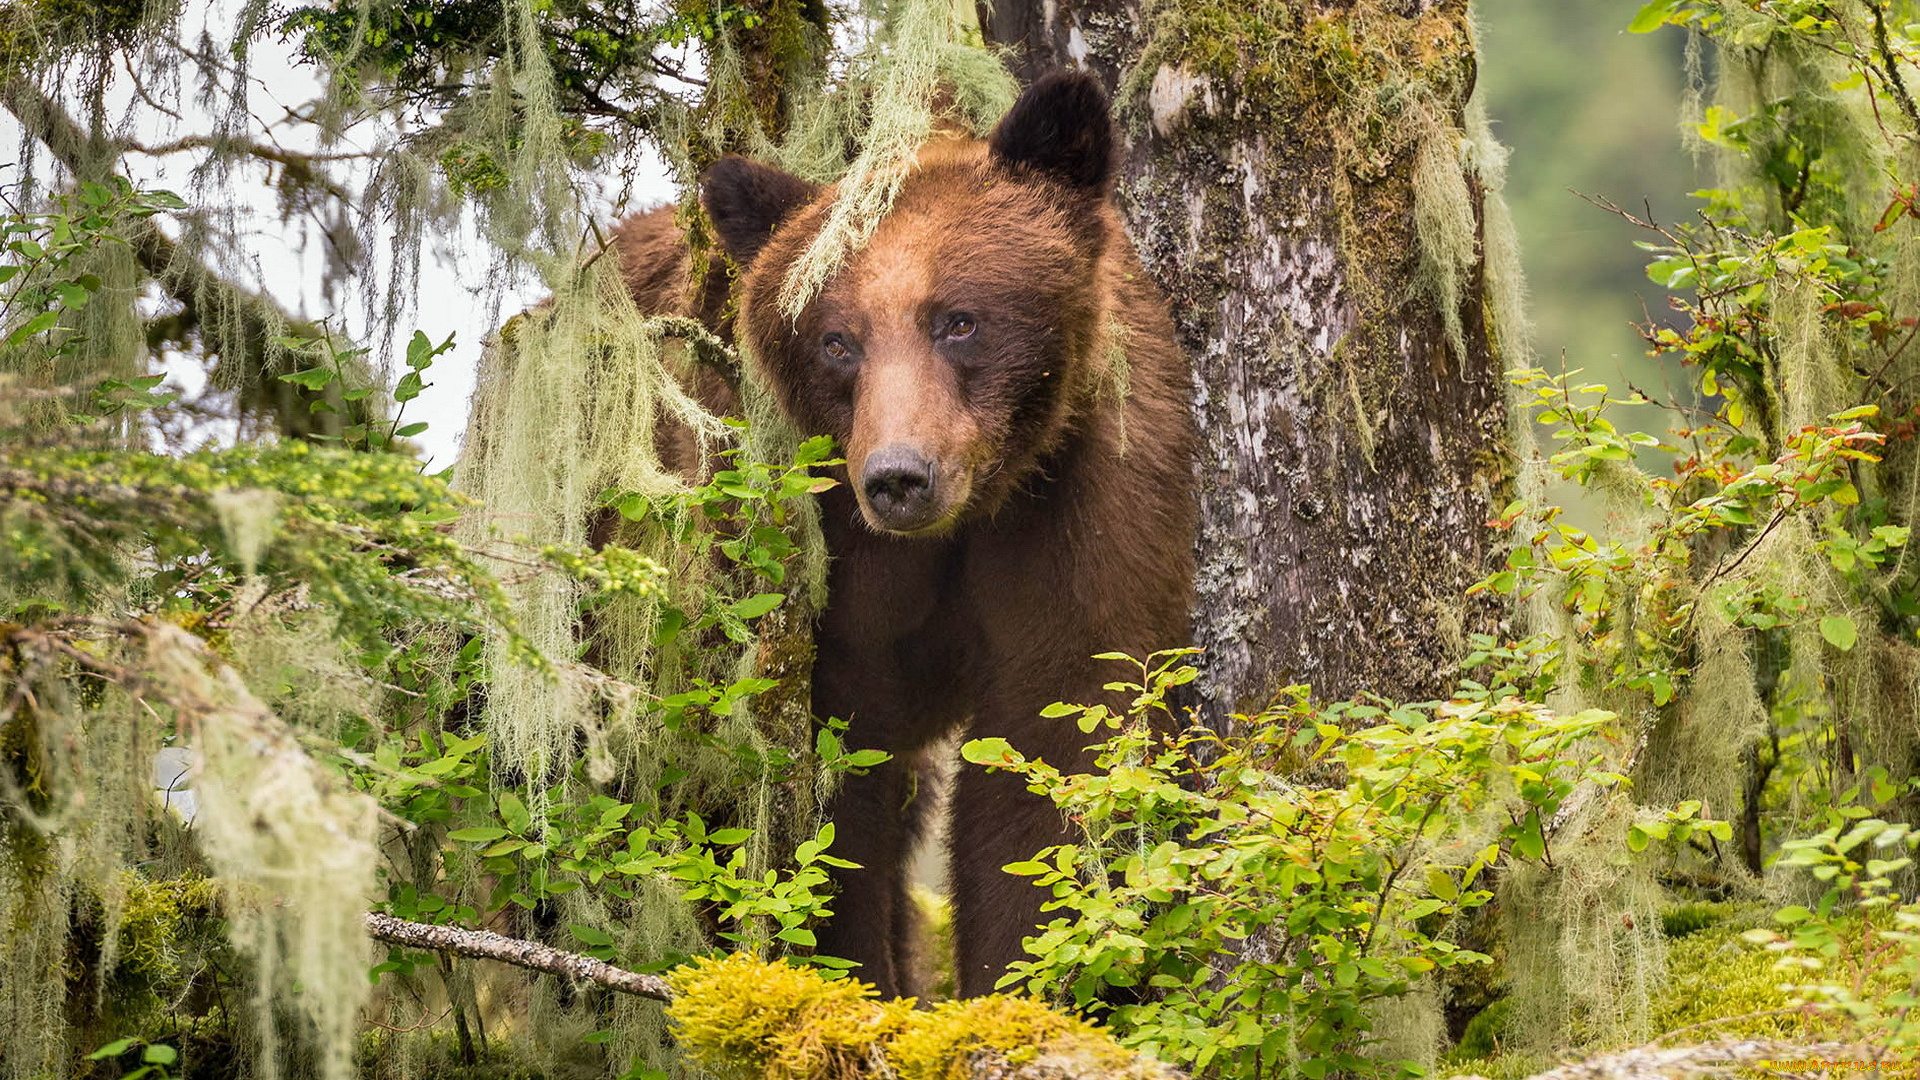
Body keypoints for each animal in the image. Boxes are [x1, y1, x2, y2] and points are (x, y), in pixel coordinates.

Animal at [610, 71, 1182, 991]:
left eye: (960, 319)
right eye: (837, 341)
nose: (899, 478)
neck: (970, 513)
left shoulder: (1084, 498)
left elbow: (1057, 740)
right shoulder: (806, 563)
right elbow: (821, 806)